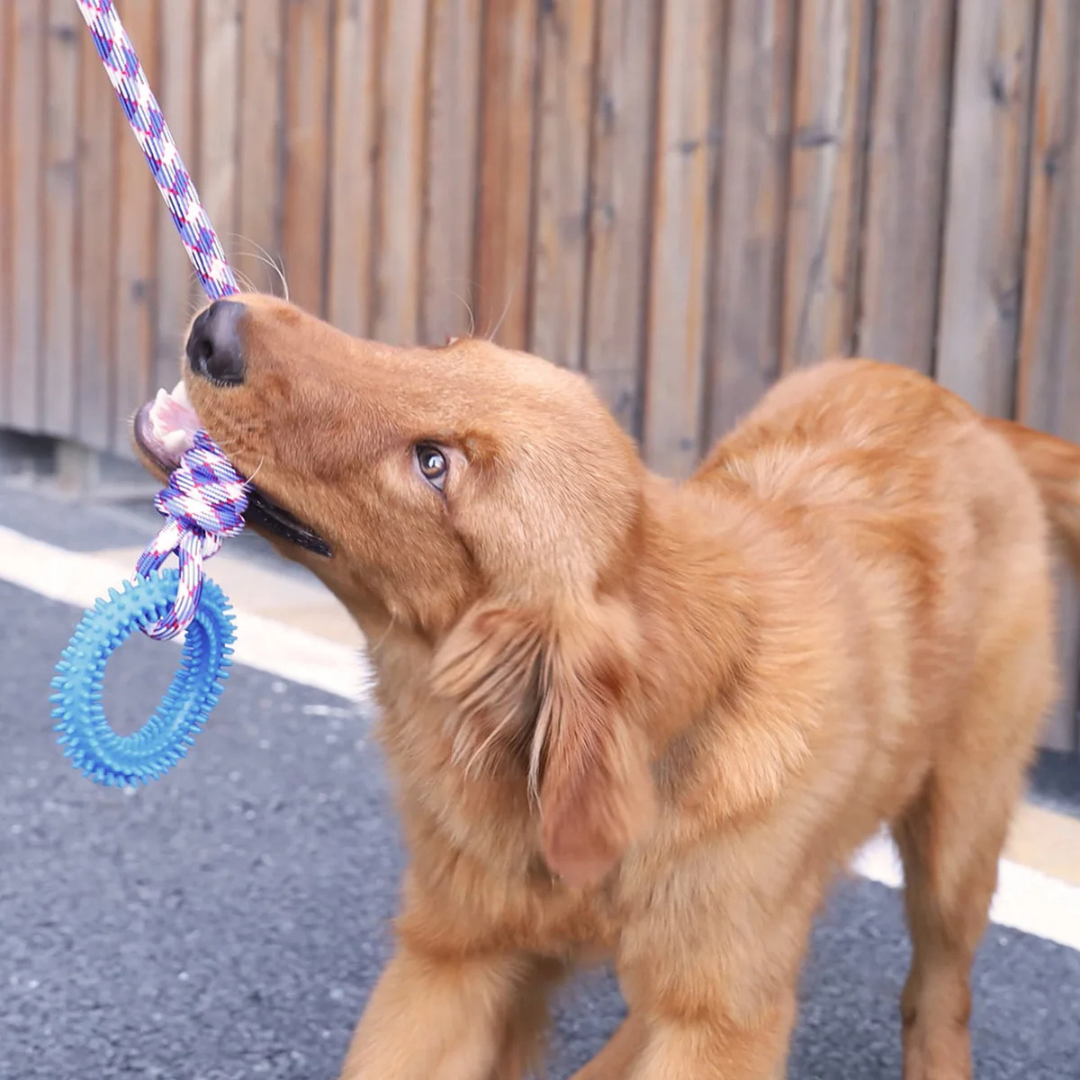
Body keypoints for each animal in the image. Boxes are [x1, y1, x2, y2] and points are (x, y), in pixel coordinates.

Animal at [137, 291, 1080, 1075]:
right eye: (444, 350)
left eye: (434, 466)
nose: (219, 325)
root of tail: (964, 410)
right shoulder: (448, 960)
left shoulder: (722, 1024)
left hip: (957, 840)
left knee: (940, 992)